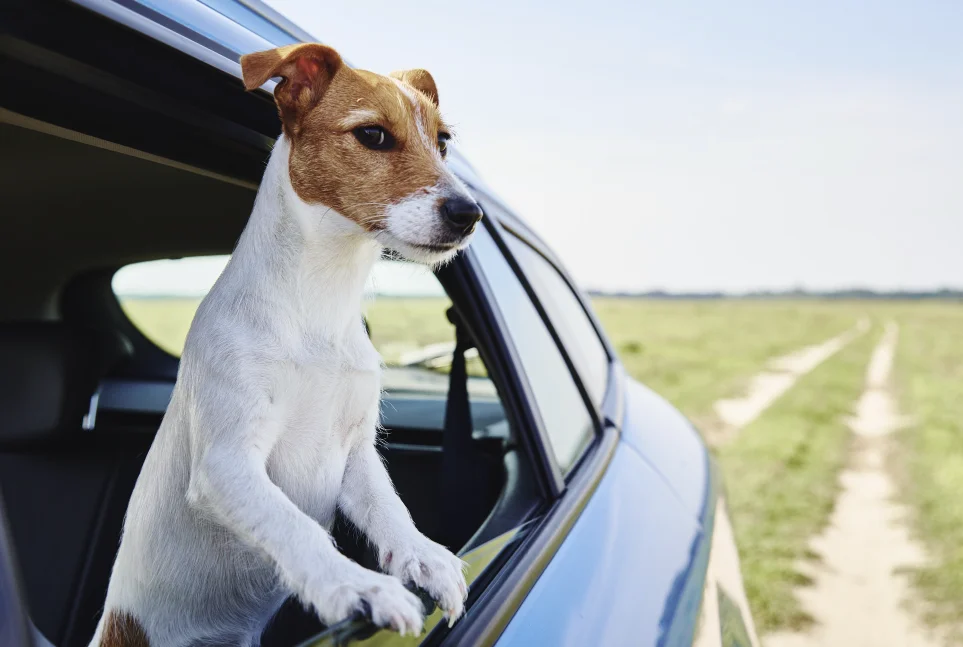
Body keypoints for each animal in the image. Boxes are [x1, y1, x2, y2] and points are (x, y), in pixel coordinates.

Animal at [90, 43, 482, 644]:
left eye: (442, 142)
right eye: (373, 135)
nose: (469, 214)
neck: (320, 303)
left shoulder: (356, 455)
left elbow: (391, 510)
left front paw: (425, 556)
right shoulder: (227, 463)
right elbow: (296, 528)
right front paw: (356, 585)